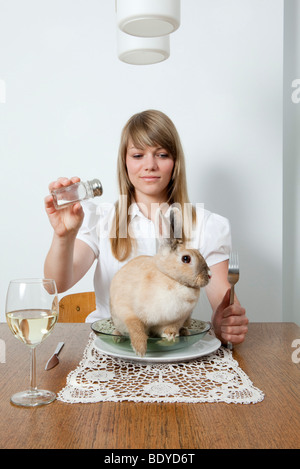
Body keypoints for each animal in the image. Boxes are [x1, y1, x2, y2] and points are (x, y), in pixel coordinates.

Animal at [108, 207, 211, 356]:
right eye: (186, 258)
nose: (209, 276)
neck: (171, 278)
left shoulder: (177, 319)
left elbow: (170, 329)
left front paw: (169, 337)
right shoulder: (127, 310)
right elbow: (135, 326)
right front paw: (140, 350)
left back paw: (185, 332)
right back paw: (117, 336)